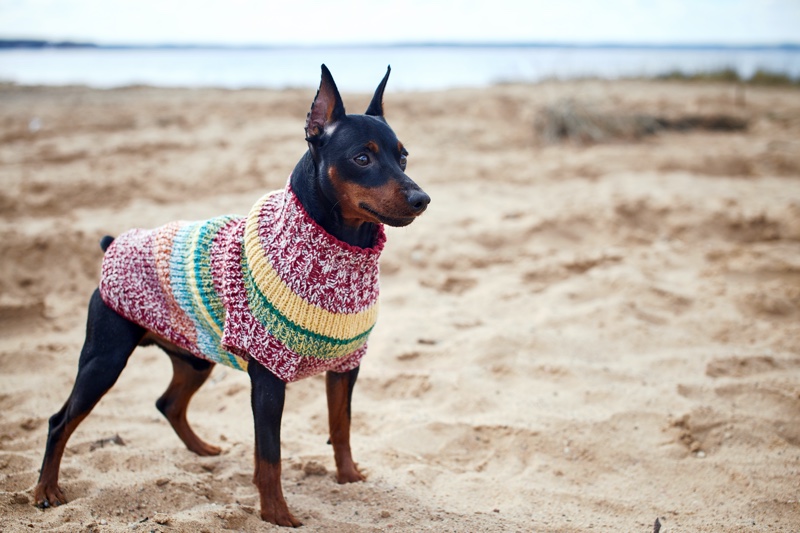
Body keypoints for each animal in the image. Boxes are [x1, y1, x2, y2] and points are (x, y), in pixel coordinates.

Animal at [34, 64, 432, 524]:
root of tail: (114, 243)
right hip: (105, 360)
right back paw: (46, 489)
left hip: (194, 357)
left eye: (403, 156)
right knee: (60, 420)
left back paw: (203, 449)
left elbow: (341, 427)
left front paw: (349, 478)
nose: (421, 198)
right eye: (362, 158)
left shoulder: (345, 366)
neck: (337, 250)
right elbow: (270, 455)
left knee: (167, 403)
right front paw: (277, 515)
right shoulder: (268, 378)